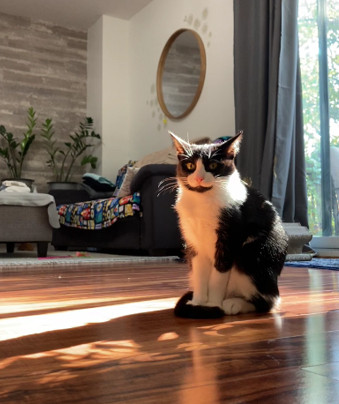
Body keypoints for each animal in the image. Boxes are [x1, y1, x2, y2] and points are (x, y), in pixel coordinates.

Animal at [170, 131, 290, 318]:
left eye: (213, 165)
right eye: (190, 165)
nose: (199, 177)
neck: (202, 201)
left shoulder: (230, 237)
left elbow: (218, 276)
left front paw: (213, 305)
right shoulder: (194, 242)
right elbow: (200, 273)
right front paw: (198, 302)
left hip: (251, 255)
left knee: (267, 302)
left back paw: (233, 304)